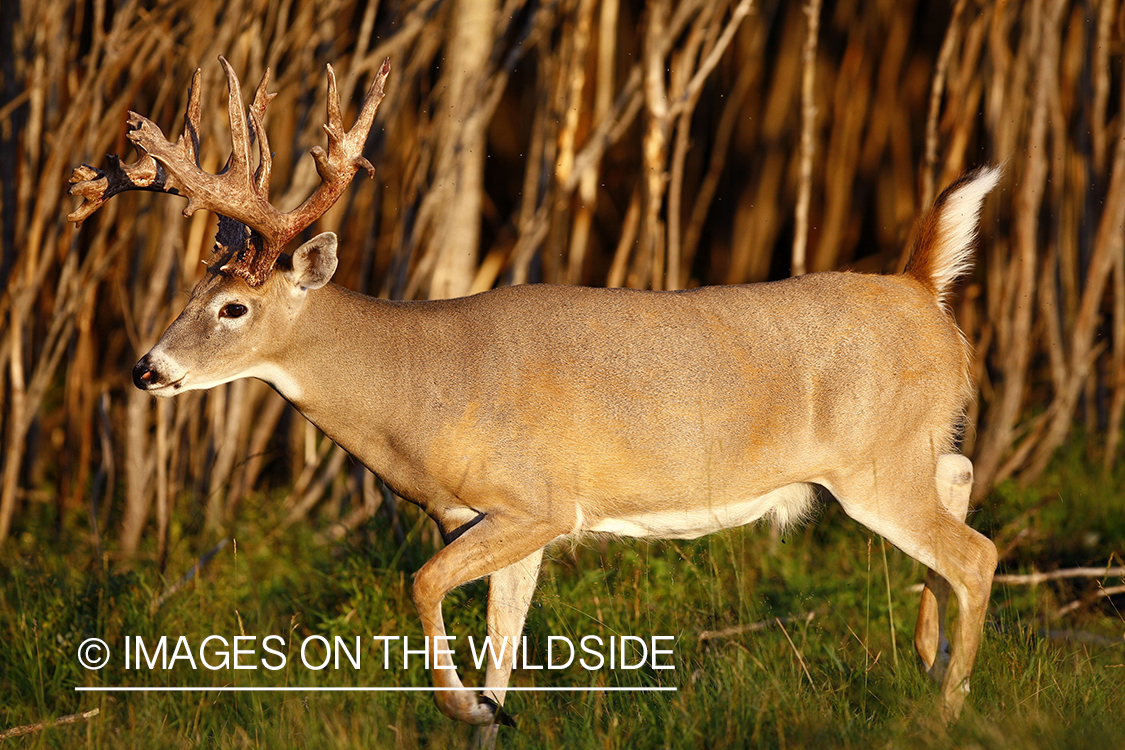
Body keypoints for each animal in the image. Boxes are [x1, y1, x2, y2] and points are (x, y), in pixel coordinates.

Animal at [70, 57, 999, 737]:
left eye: (234, 308)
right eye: (191, 293)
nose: (146, 369)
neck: (424, 387)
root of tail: (922, 290)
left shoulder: (537, 502)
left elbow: (422, 587)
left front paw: (457, 703)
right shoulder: (498, 522)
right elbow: (501, 653)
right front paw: (485, 709)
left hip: (874, 462)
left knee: (975, 553)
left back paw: (948, 706)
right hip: (904, 450)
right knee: (959, 485)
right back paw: (927, 658)